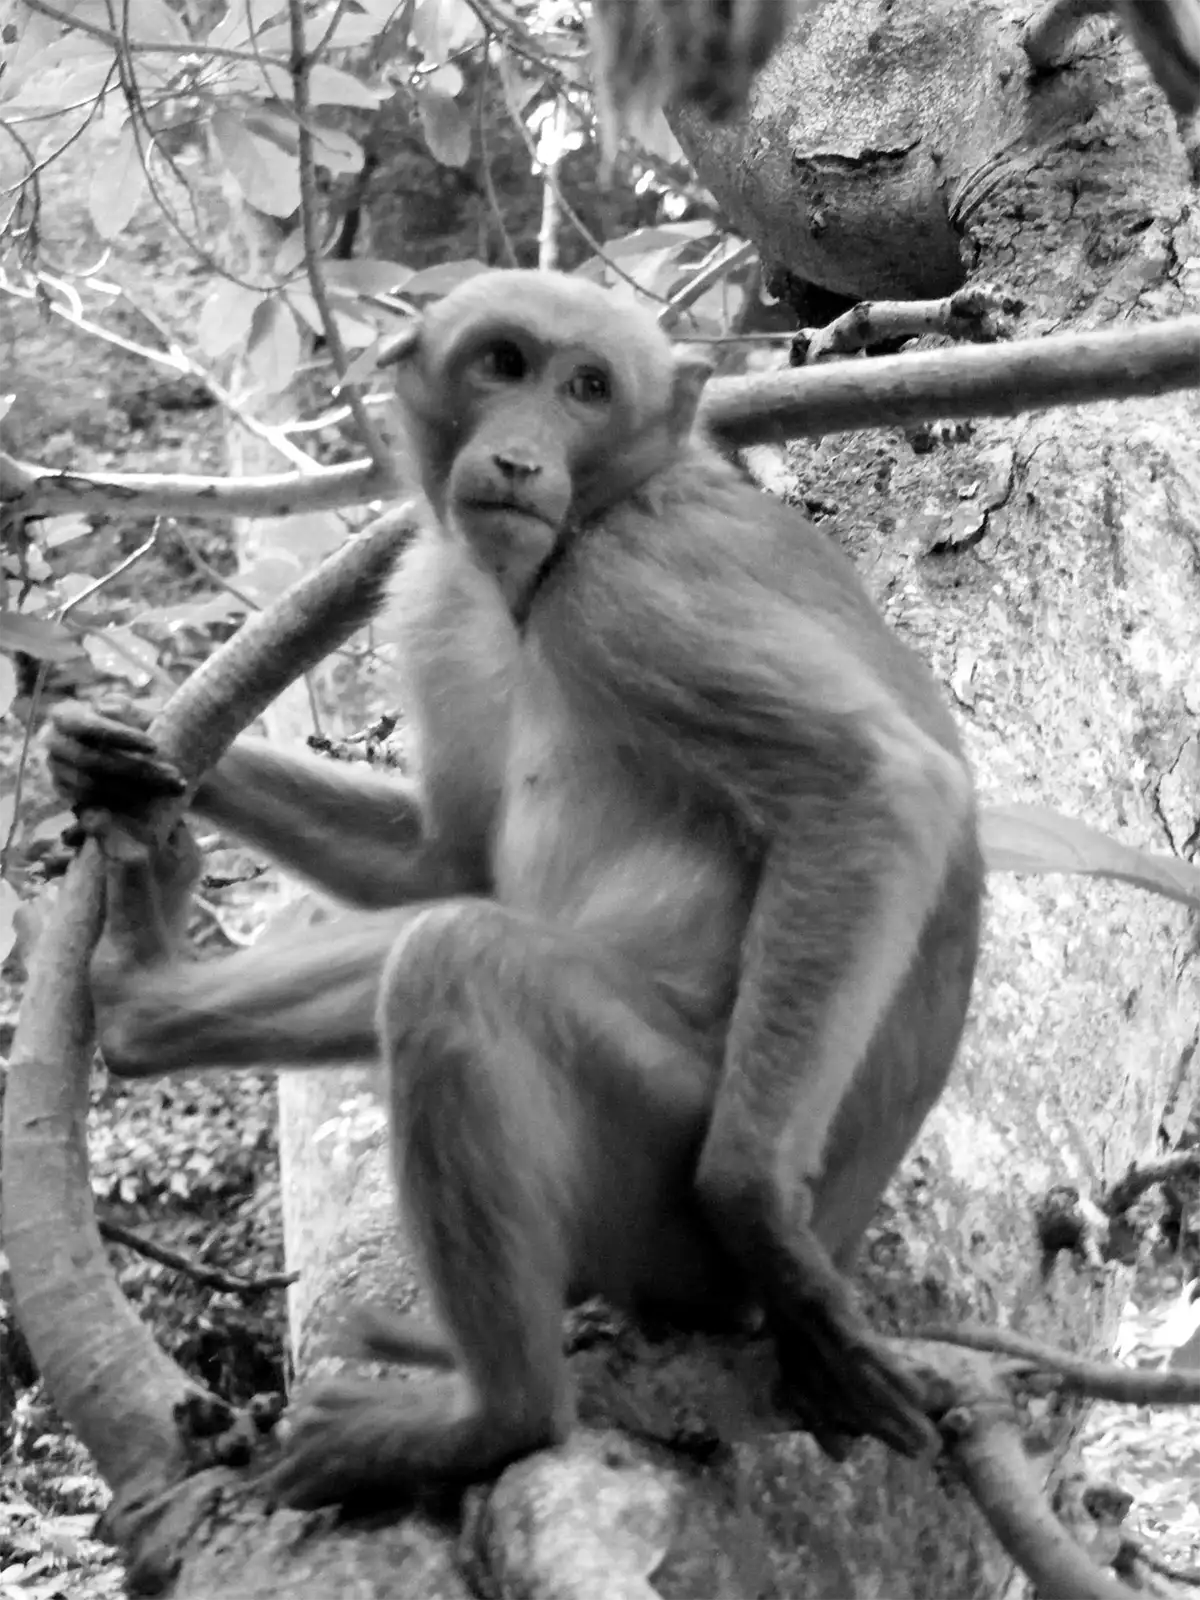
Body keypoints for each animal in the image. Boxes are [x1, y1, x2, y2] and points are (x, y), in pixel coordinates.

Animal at [48, 267, 983, 1511]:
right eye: (504, 364)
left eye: (588, 388)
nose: (521, 459)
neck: (576, 533)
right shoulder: (433, 590)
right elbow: (449, 862)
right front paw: (126, 750)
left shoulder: (628, 593)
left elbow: (872, 785)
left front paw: (761, 1210)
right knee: (446, 930)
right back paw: (147, 995)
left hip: (667, 1192)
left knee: (461, 964)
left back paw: (496, 1416)